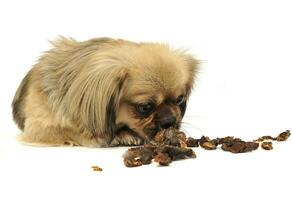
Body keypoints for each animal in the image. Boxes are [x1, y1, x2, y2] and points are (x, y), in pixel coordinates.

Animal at [12, 37, 198, 147]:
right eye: (145, 107)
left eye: (180, 100)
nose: (170, 120)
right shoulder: (39, 127)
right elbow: (73, 131)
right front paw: (121, 136)